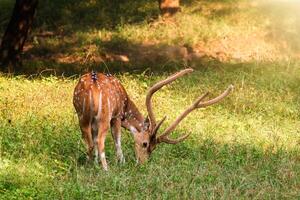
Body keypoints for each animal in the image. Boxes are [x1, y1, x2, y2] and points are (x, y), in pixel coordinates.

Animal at [72, 69, 232, 170]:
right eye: (145, 143)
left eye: (154, 148)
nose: (142, 164)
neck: (125, 106)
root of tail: (93, 87)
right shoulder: (116, 116)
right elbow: (118, 141)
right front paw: (121, 163)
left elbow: (95, 140)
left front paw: (96, 163)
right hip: (105, 115)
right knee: (100, 140)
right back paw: (106, 169)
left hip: (81, 114)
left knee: (90, 141)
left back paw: (89, 164)